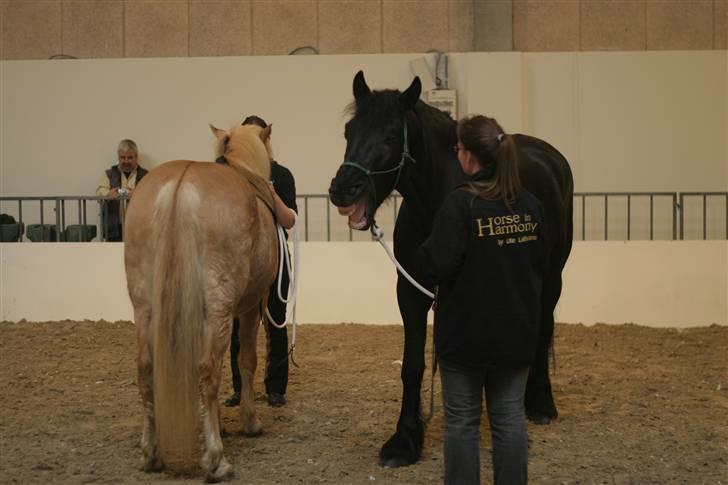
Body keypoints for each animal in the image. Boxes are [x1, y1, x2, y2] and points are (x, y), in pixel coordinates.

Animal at [123, 122, 278, 480]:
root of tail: (180, 186)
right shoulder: (249, 308)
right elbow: (246, 360)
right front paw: (249, 422)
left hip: (146, 307)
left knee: (146, 369)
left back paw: (151, 455)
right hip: (219, 307)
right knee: (207, 371)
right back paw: (216, 461)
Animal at [330, 70, 576, 466]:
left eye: (389, 136)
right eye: (349, 131)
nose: (342, 189)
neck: (435, 201)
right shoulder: (411, 290)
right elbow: (413, 365)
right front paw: (405, 439)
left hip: (553, 275)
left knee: (543, 328)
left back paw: (540, 402)